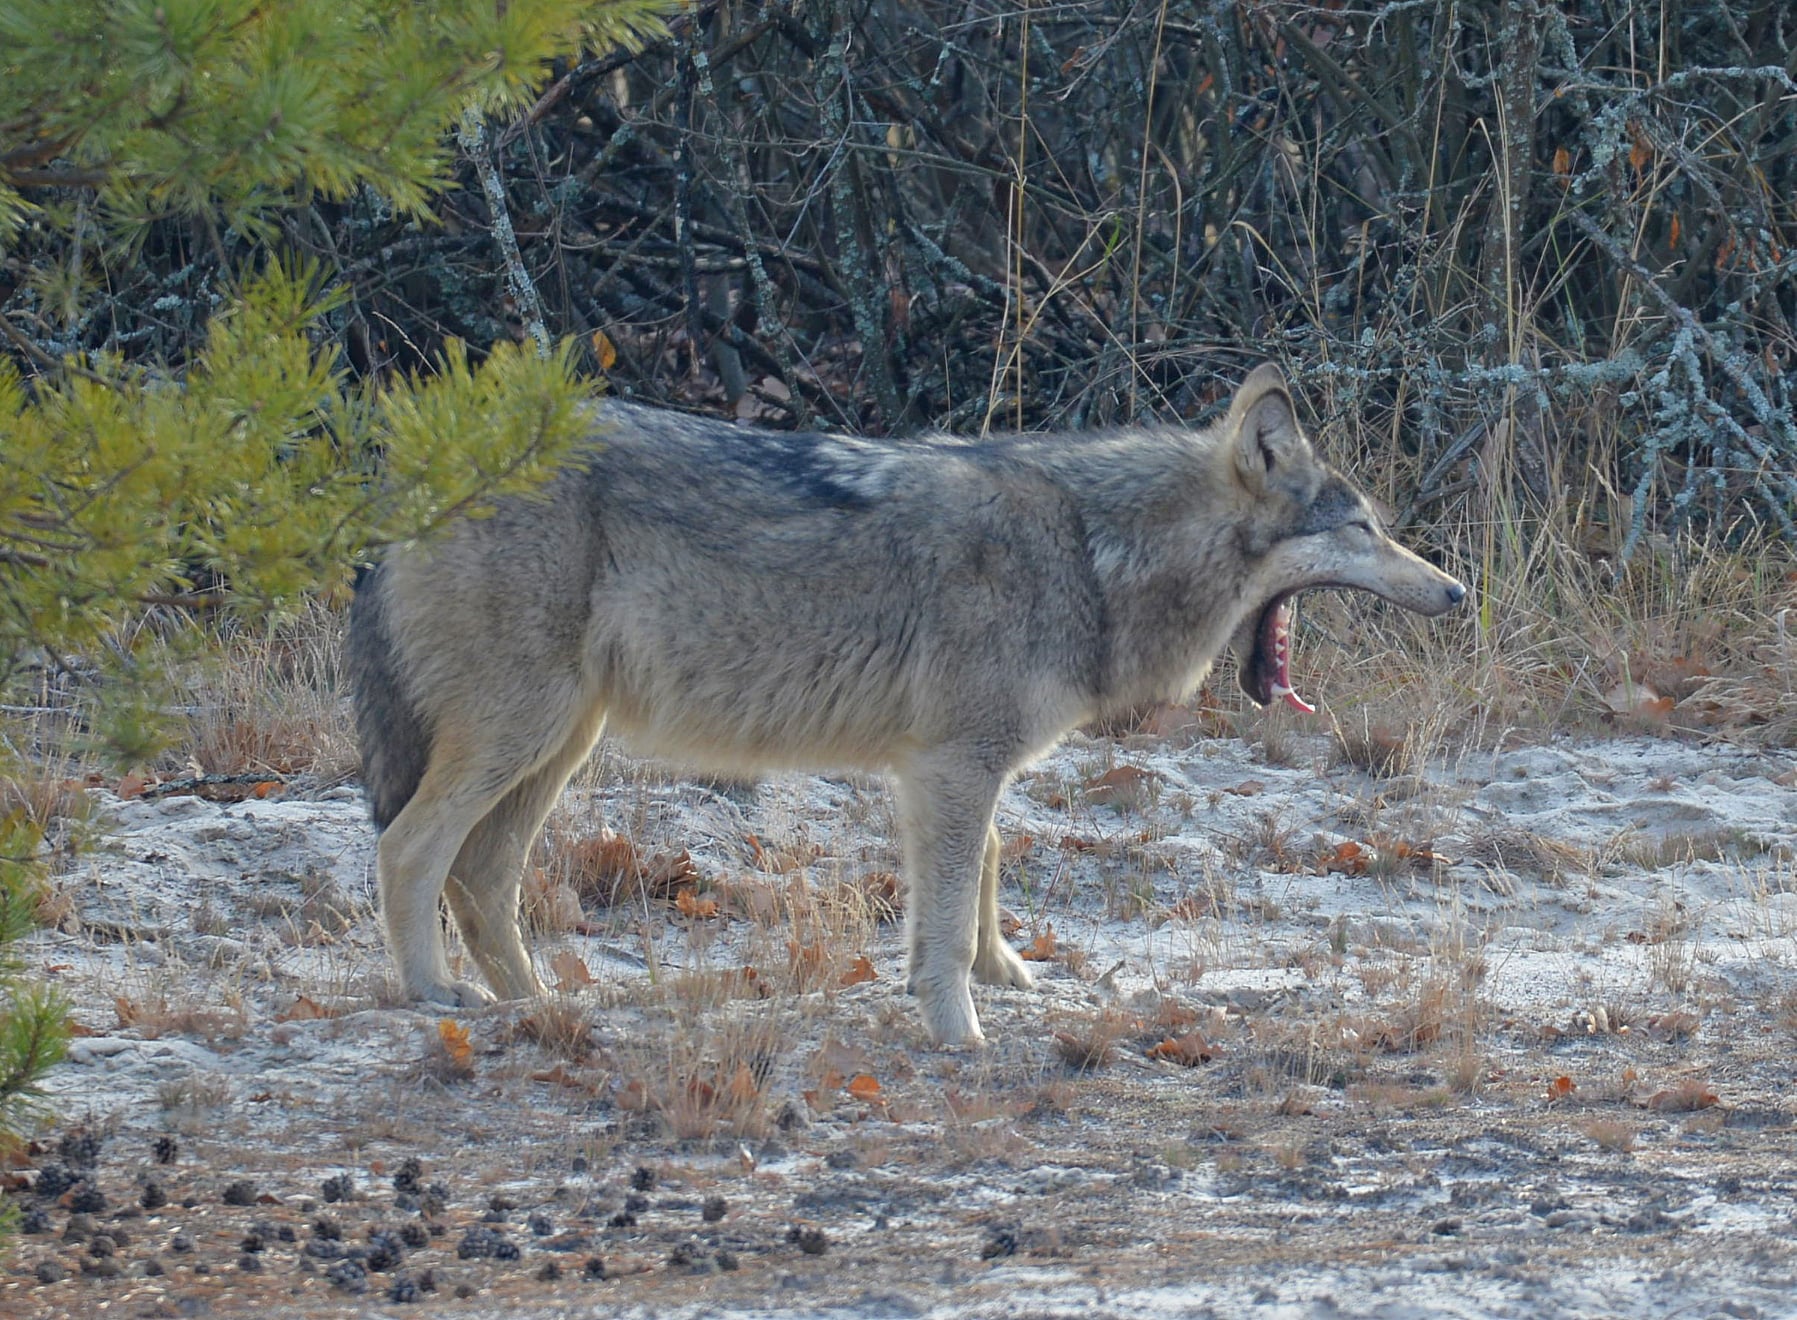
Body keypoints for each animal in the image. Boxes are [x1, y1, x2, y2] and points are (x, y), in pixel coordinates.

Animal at [346, 360, 1459, 1041]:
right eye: (1362, 529)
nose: (1454, 592)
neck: (1090, 552)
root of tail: (412, 468)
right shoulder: (953, 764)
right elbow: (948, 916)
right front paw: (960, 1031)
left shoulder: (952, 768)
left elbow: (986, 874)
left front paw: (1006, 976)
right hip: (522, 734)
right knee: (406, 849)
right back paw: (432, 995)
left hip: (557, 746)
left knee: (480, 874)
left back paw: (532, 1004)